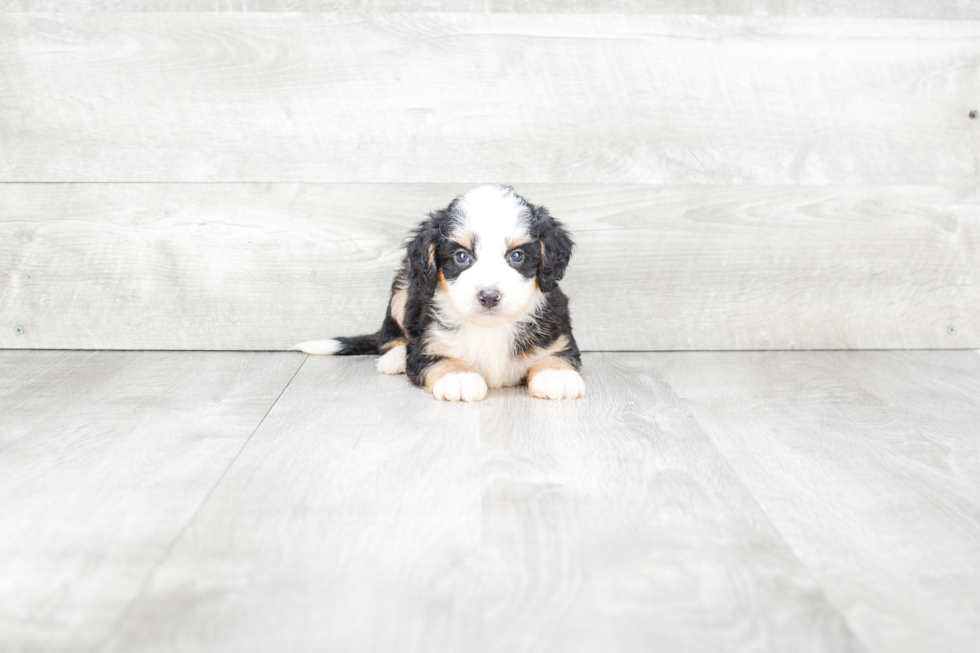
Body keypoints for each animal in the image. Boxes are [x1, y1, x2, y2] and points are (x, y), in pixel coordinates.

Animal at [290, 181, 580, 400]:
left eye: (517, 256)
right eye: (461, 257)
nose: (488, 296)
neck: (489, 329)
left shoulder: (557, 332)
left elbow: (556, 354)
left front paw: (556, 375)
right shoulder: (427, 340)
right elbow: (438, 357)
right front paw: (459, 377)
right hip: (404, 287)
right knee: (390, 338)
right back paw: (395, 358)